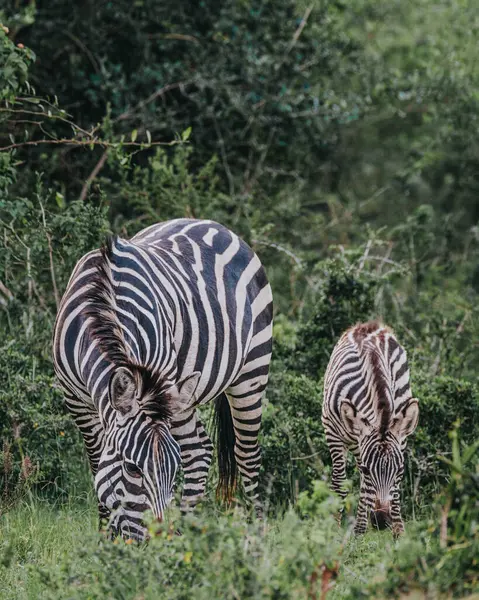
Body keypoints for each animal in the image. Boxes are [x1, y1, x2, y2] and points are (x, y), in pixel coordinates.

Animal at [52, 218, 274, 540]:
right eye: (132, 469)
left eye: (173, 469)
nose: (154, 540)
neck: (100, 309)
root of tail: (216, 225)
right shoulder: (76, 400)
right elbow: (97, 467)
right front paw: (106, 535)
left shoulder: (161, 382)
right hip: (185, 394)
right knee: (200, 450)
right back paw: (185, 529)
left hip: (251, 370)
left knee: (244, 453)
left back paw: (254, 530)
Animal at [322, 322, 420, 536]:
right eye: (368, 470)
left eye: (399, 470)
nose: (382, 521)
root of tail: (371, 326)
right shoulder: (332, 432)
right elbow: (340, 483)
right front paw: (333, 528)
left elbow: (374, 490)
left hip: (401, 428)